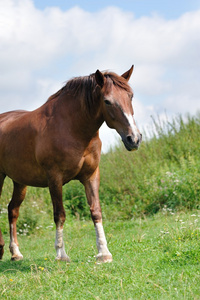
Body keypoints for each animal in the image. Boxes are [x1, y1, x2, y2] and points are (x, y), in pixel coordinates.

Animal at [0, 65, 141, 262]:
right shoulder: (54, 178)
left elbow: (96, 211)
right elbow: (60, 214)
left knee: (12, 210)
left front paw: (104, 253)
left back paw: (15, 253)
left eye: (130, 96)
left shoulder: (91, 175)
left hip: (19, 181)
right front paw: (61, 254)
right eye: (107, 101)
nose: (133, 139)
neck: (71, 128)